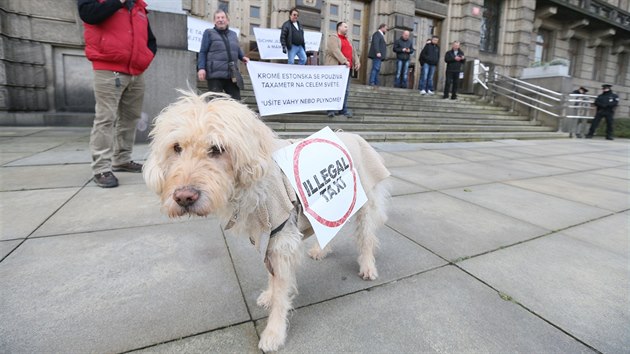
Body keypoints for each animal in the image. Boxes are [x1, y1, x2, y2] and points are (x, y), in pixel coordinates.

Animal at [144, 91, 390, 352]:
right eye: (176, 147)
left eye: (217, 149)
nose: (184, 197)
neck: (249, 187)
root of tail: (358, 136)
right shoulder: (267, 236)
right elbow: (272, 276)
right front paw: (269, 296)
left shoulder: (281, 239)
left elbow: (282, 290)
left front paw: (274, 332)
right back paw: (321, 250)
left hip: (366, 203)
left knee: (366, 237)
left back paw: (368, 266)